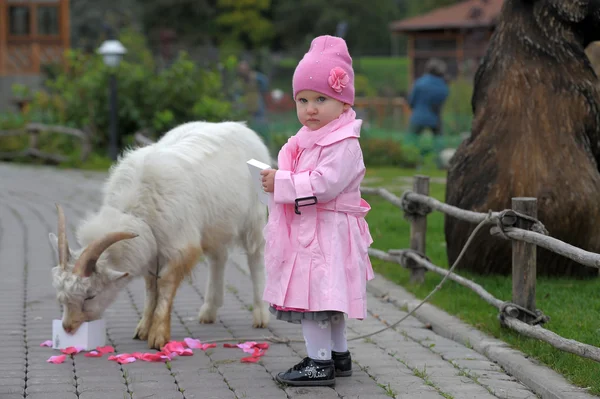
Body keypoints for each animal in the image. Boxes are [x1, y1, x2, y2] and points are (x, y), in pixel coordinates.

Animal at [48, 122, 270, 350]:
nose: (68, 327)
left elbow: (164, 285)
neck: (137, 210)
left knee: (256, 256)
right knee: (219, 258)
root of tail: (242, 127)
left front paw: (158, 336)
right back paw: (209, 310)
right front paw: (143, 329)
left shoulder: (179, 247)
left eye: (90, 295)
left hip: (254, 217)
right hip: (214, 226)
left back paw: (261, 314)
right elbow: (151, 288)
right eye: (61, 298)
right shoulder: (152, 250)